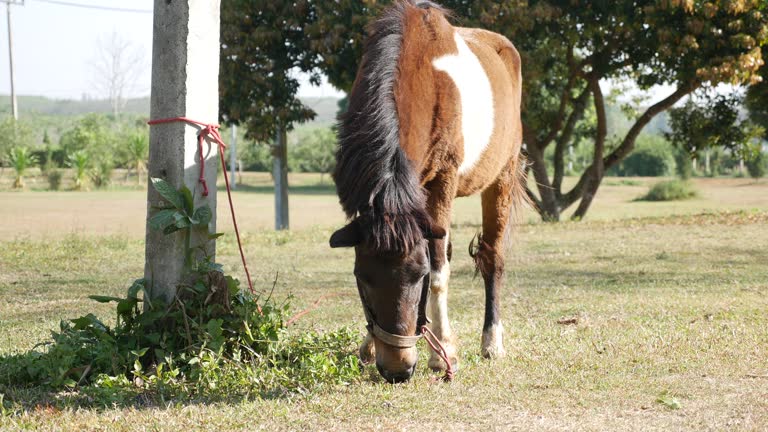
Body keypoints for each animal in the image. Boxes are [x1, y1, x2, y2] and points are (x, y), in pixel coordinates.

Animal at [330, 0, 528, 384]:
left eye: (418, 276)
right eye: (362, 277)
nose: (398, 369)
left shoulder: (443, 181)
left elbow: (439, 269)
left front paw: (443, 352)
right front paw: (369, 346)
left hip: (504, 174)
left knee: (492, 258)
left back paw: (491, 341)